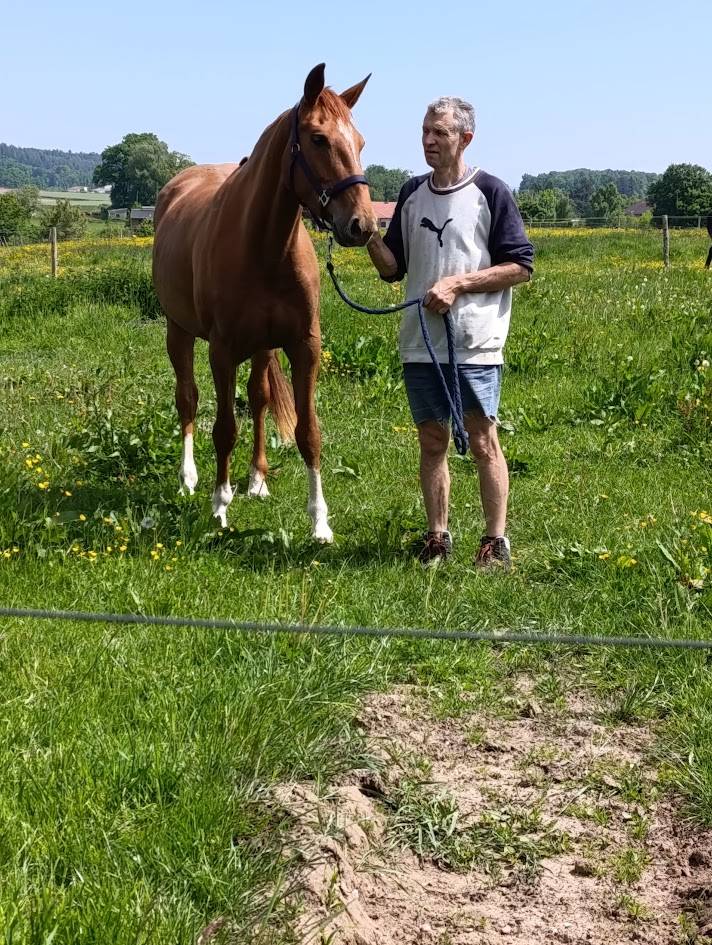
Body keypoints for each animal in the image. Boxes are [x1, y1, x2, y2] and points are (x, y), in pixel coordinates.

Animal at [152, 64, 376, 541]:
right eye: (318, 138)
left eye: (360, 141)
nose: (362, 225)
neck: (263, 247)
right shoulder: (221, 352)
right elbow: (223, 428)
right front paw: (219, 506)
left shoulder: (304, 346)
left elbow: (308, 432)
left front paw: (320, 521)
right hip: (179, 332)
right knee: (187, 398)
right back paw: (188, 478)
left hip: (261, 347)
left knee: (258, 397)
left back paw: (256, 478)